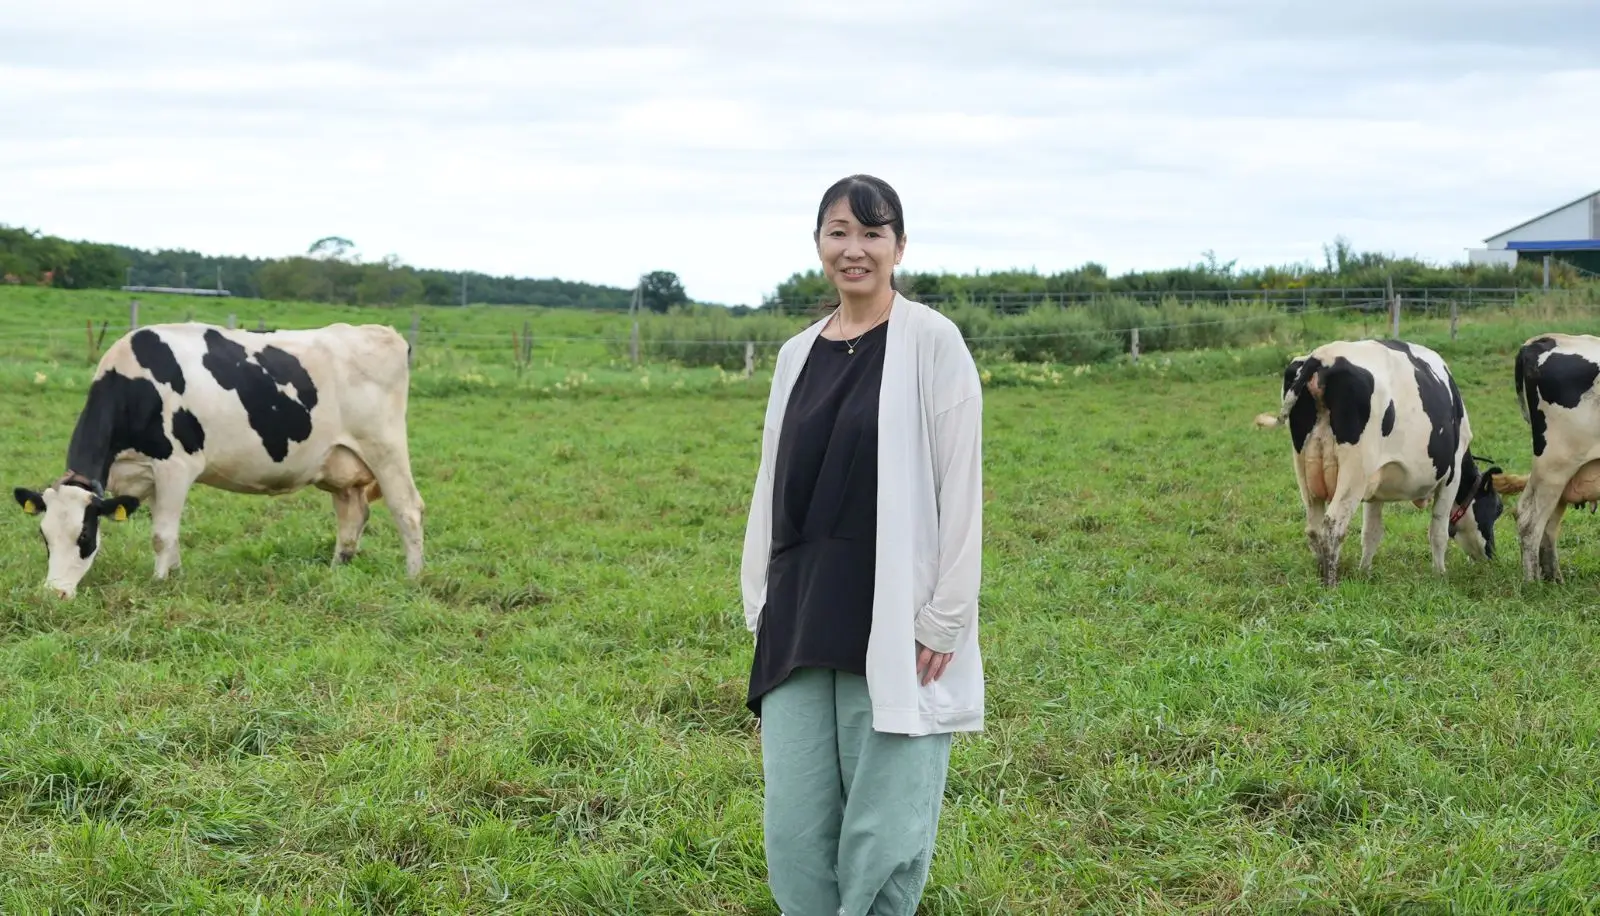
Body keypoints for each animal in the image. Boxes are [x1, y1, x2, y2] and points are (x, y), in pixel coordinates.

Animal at [10, 323, 425, 602]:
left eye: (84, 536)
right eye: (44, 536)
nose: (54, 594)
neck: (136, 384)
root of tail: (383, 332)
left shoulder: (176, 466)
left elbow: (161, 534)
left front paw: (159, 584)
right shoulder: (147, 474)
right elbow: (169, 533)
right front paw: (175, 574)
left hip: (384, 446)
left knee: (408, 508)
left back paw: (414, 576)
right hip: (340, 463)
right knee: (352, 513)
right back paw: (338, 569)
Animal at [1280, 337, 1504, 586]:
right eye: (1497, 509)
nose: (1492, 556)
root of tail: (1321, 357)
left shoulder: (1376, 485)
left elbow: (1371, 532)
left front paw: (1364, 572)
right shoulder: (1450, 477)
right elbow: (1438, 530)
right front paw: (1440, 574)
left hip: (1304, 469)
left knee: (1314, 528)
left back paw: (1320, 576)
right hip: (1355, 471)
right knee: (1332, 525)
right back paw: (1331, 584)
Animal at [1491, 333, 1600, 582]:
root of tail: (1545, 339)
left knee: (1547, 523)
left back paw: (1554, 578)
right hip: (1555, 465)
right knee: (1529, 520)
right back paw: (1532, 582)